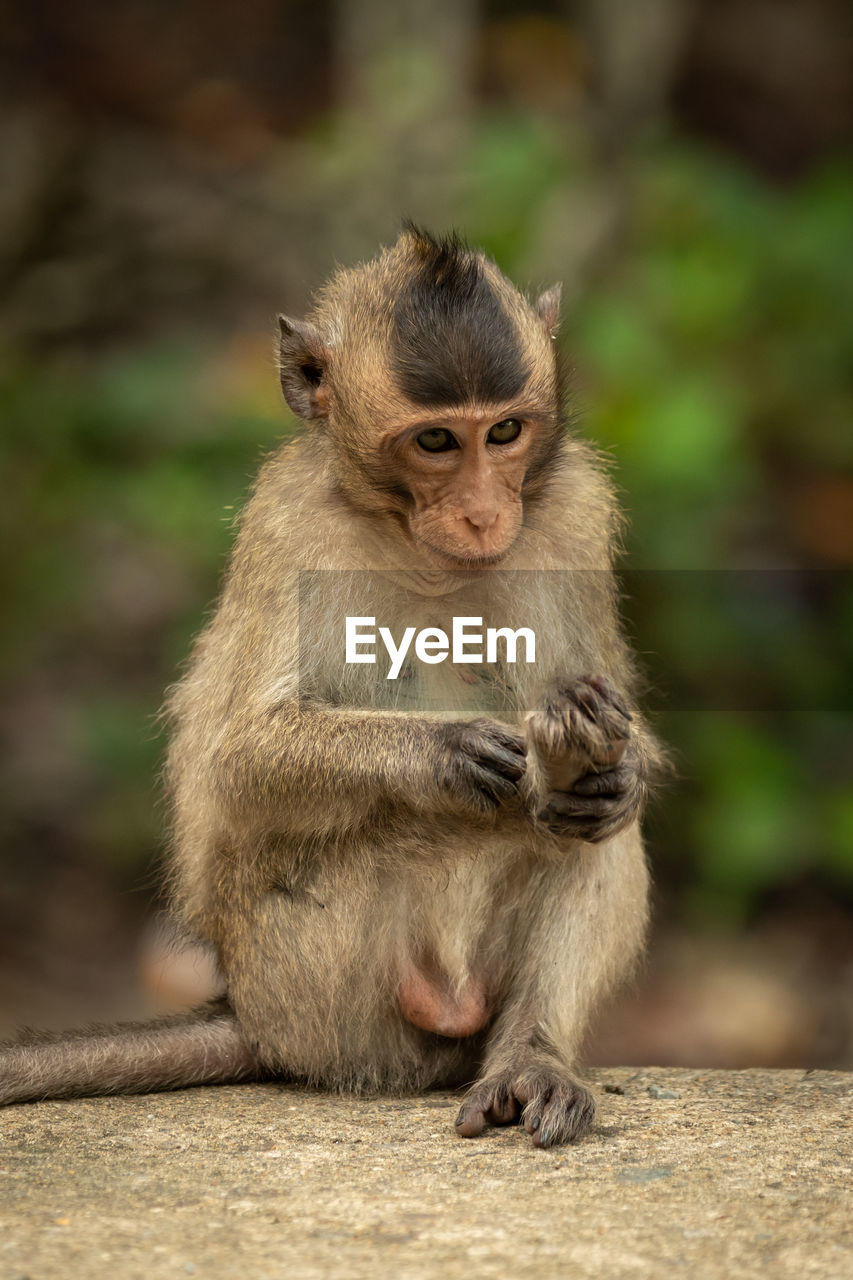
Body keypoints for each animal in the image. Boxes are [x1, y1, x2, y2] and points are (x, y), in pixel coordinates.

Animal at [0, 225, 655, 1146]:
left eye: (504, 432)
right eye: (435, 442)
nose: (485, 514)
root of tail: (252, 1014)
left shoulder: (574, 516)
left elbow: (613, 725)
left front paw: (614, 767)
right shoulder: (289, 527)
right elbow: (234, 761)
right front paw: (447, 752)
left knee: (587, 831)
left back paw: (532, 1057)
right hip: (311, 976)